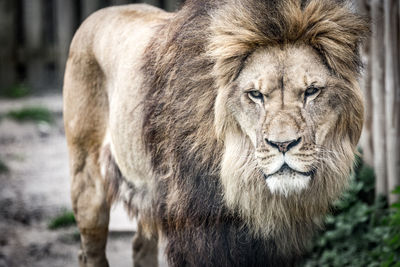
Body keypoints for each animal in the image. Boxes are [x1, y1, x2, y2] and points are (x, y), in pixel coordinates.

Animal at [63, 0, 368, 266]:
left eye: (311, 91)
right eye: (255, 94)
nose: (283, 145)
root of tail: (96, 15)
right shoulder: (197, 235)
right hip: (87, 181)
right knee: (90, 250)